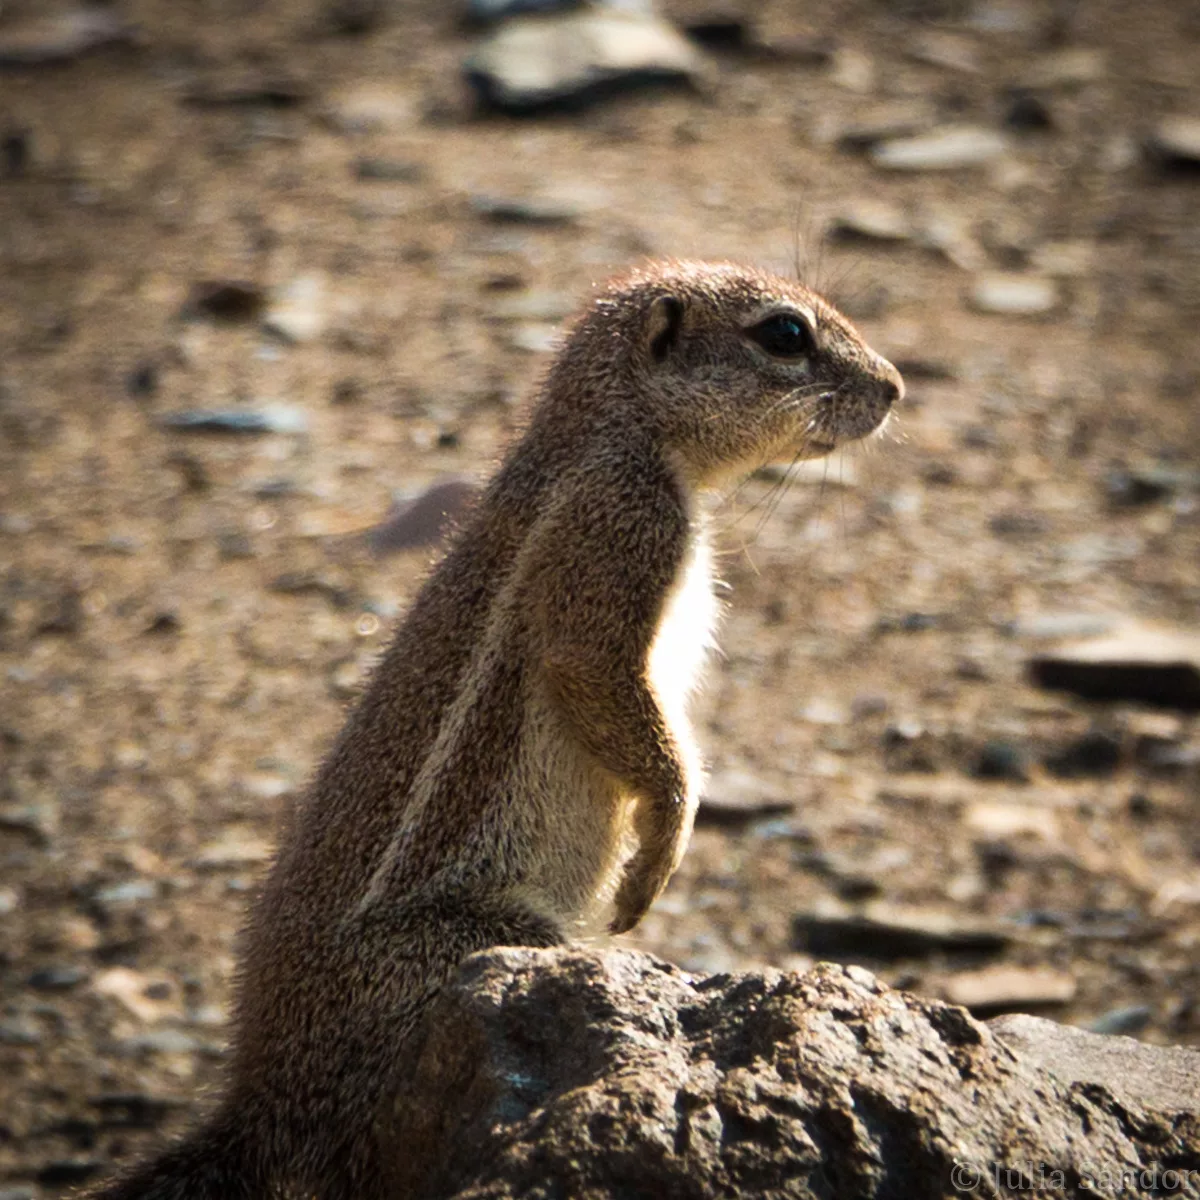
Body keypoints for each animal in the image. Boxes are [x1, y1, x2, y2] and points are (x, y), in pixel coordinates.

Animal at [86, 260, 902, 1200]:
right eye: (785, 334)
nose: (895, 387)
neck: (613, 439)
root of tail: (262, 1102)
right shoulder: (613, 541)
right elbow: (619, 708)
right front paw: (660, 852)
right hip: (498, 947)